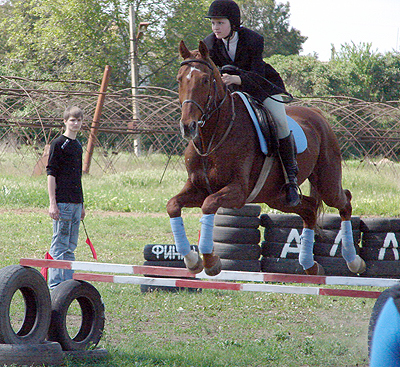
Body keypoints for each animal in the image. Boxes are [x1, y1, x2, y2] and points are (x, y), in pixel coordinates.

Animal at [167, 40, 368, 278]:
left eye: (205, 80)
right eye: (179, 79)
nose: (188, 127)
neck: (213, 137)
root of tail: (319, 115)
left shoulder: (237, 192)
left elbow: (208, 206)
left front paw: (210, 260)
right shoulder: (198, 188)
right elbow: (173, 205)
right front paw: (192, 260)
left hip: (326, 183)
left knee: (344, 201)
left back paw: (353, 261)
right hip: (277, 197)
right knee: (309, 209)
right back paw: (310, 265)